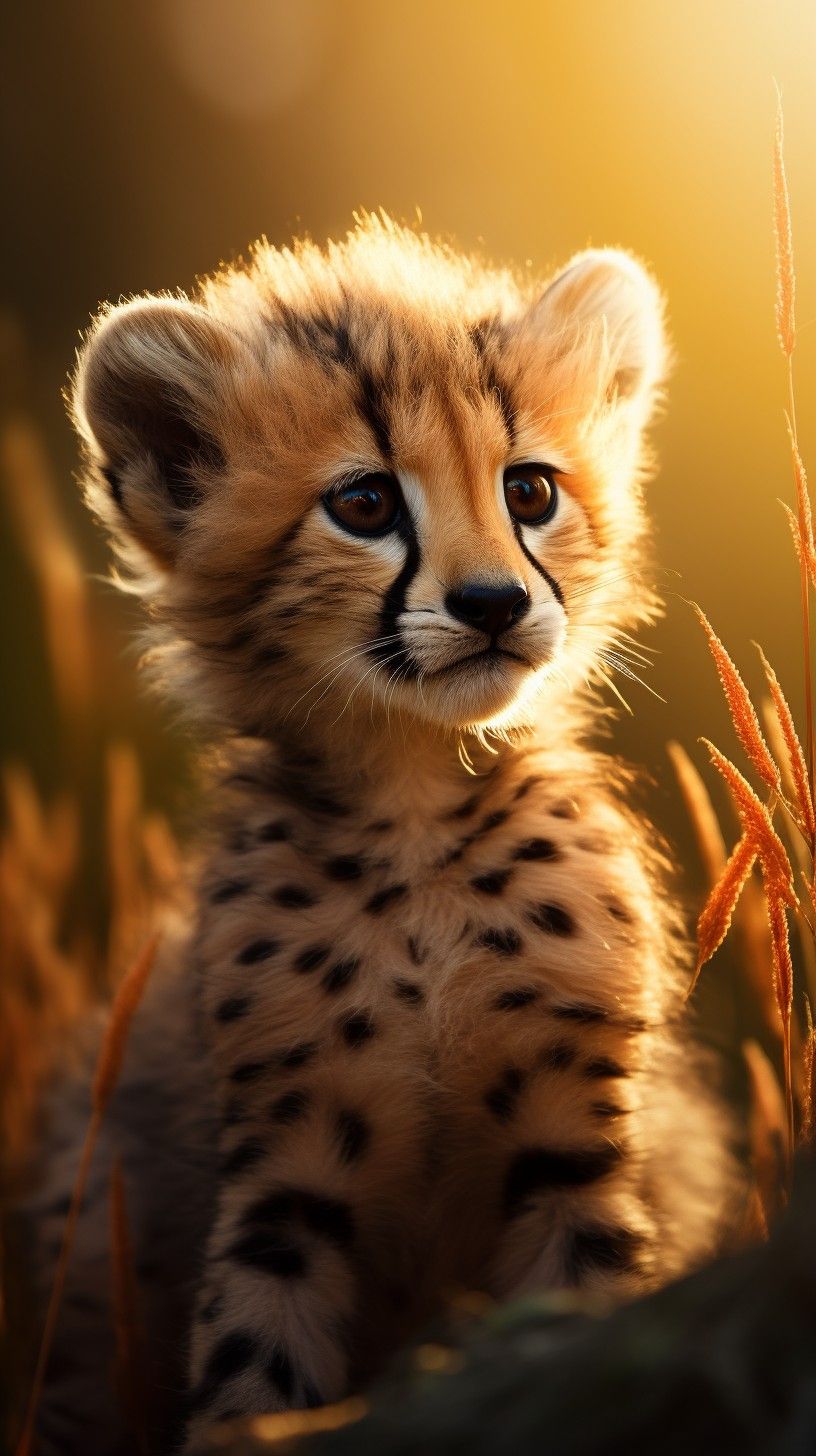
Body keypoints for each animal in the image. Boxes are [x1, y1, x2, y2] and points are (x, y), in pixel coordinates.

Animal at [24, 214, 740, 1454]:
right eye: (364, 504)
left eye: (530, 489)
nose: (495, 603)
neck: (415, 815)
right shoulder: (287, 1171)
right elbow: (251, 1363)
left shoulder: (572, 1143)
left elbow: (584, 1300)